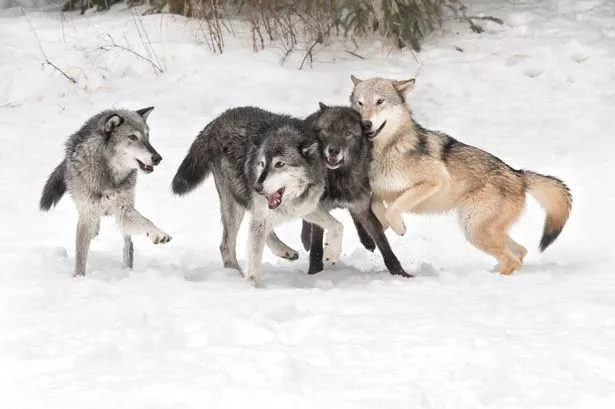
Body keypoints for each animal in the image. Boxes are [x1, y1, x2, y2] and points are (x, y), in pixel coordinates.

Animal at [39, 107, 172, 276]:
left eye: (147, 136)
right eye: (132, 137)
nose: (158, 158)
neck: (108, 172)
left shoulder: (124, 209)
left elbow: (146, 221)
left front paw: (159, 234)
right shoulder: (87, 211)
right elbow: (80, 254)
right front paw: (79, 277)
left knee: (128, 244)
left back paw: (127, 267)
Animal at [172, 106, 346, 284]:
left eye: (279, 164)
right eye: (261, 164)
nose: (256, 187)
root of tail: (220, 118)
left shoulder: (305, 206)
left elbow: (338, 226)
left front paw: (332, 253)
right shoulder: (264, 212)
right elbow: (253, 265)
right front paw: (253, 287)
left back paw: (284, 251)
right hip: (235, 205)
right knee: (226, 245)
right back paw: (233, 276)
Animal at [300, 103, 414, 278]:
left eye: (348, 133)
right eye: (326, 131)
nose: (333, 150)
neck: (339, 177)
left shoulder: (362, 207)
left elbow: (384, 244)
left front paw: (401, 274)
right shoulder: (320, 209)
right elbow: (316, 248)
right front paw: (315, 272)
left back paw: (367, 241)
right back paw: (305, 239)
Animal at [352, 76, 572, 274]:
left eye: (380, 101)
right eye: (359, 103)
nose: (365, 123)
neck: (386, 150)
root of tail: (519, 175)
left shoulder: (434, 180)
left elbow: (393, 209)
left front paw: (399, 227)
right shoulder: (379, 191)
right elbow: (378, 208)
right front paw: (380, 230)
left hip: (472, 228)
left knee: (513, 260)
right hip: (478, 229)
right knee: (521, 252)